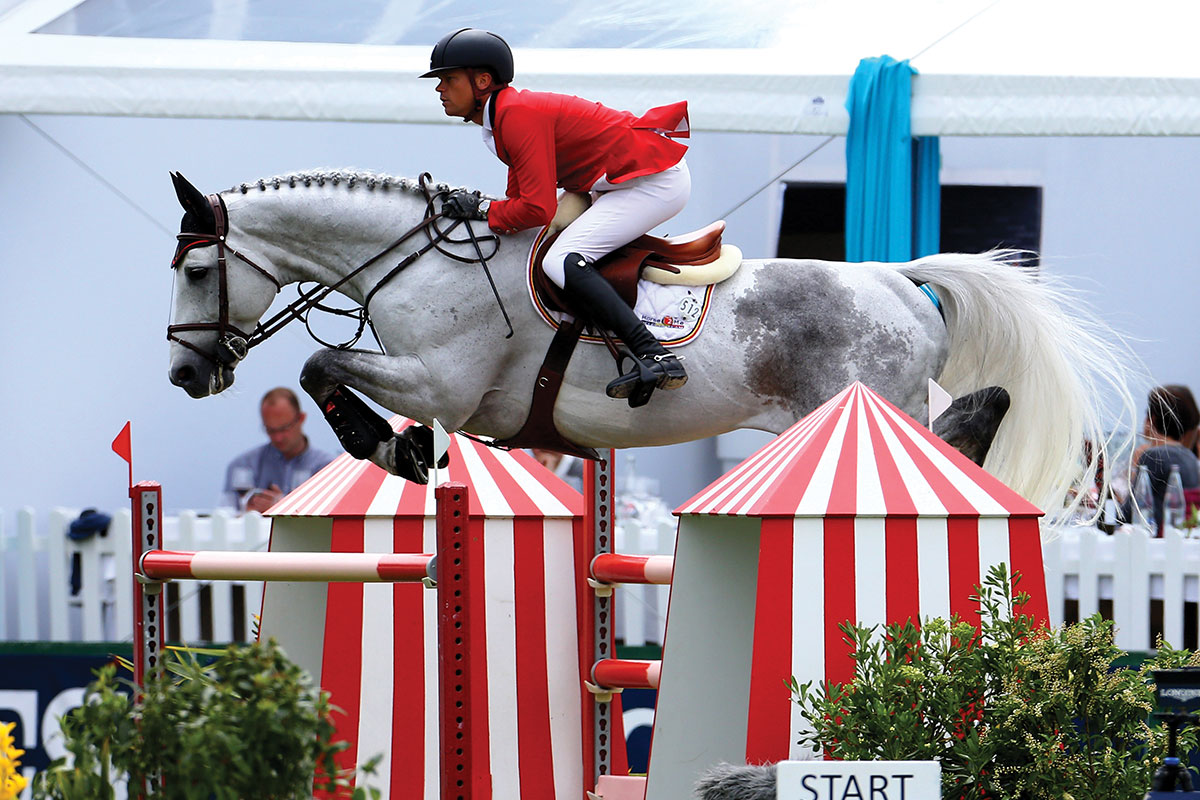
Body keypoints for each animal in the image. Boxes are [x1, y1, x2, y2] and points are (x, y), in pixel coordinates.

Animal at [162, 169, 1132, 513]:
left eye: (199, 271)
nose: (182, 374)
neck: (417, 261)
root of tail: (898, 278)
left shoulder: (441, 386)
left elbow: (318, 360)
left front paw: (389, 447)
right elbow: (324, 363)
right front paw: (400, 450)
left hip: (869, 411)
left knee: (953, 439)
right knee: (974, 415)